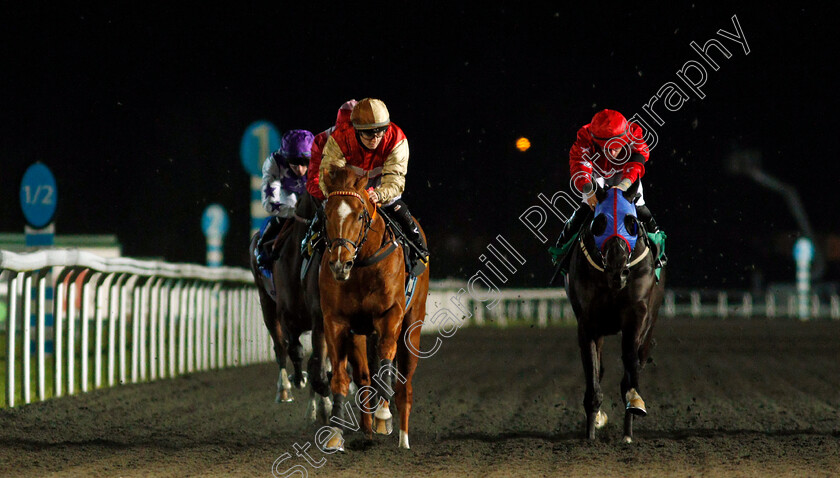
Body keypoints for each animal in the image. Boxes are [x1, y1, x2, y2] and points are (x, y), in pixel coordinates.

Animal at [246, 190, 332, 422]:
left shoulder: (321, 317)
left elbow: (319, 360)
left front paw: (323, 405)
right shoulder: (286, 318)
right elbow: (295, 350)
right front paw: (298, 379)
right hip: (266, 303)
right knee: (279, 348)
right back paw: (284, 389)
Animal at [318, 168, 430, 452]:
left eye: (359, 214)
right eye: (327, 214)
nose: (340, 263)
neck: (361, 267)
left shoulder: (390, 315)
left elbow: (386, 363)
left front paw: (383, 415)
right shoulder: (336, 321)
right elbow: (340, 376)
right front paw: (335, 432)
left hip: (412, 326)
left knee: (404, 385)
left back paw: (402, 438)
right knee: (365, 376)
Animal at [564, 181, 668, 442]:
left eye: (631, 222)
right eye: (599, 223)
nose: (617, 270)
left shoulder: (637, 314)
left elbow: (630, 362)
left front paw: (634, 403)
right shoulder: (587, 322)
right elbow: (593, 370)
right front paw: (591, 430)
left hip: (651, 322)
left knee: (639, 358)